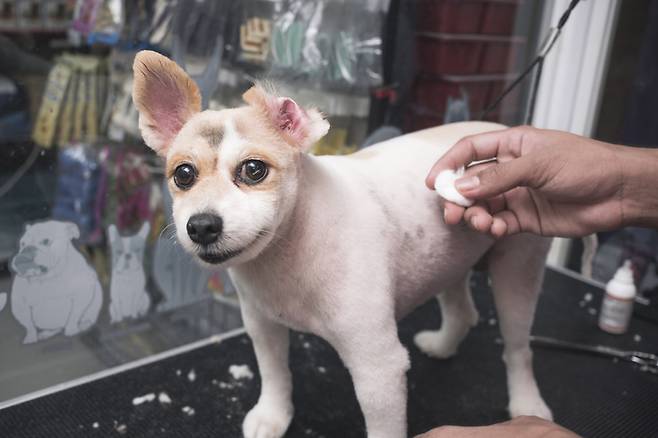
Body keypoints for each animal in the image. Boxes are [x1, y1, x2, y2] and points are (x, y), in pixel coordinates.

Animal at [132, 51, 552, 438]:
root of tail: (501, 130)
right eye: (183, 174)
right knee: (464, 311)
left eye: (253, 170)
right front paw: (273, 415)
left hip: (518, 270)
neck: (293, 245)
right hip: (449, 258)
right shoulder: (263, 326)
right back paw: (443, 344)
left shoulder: (378, 368)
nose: (201, 226)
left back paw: (527, 404)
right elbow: (275, 374)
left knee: (519, 348)